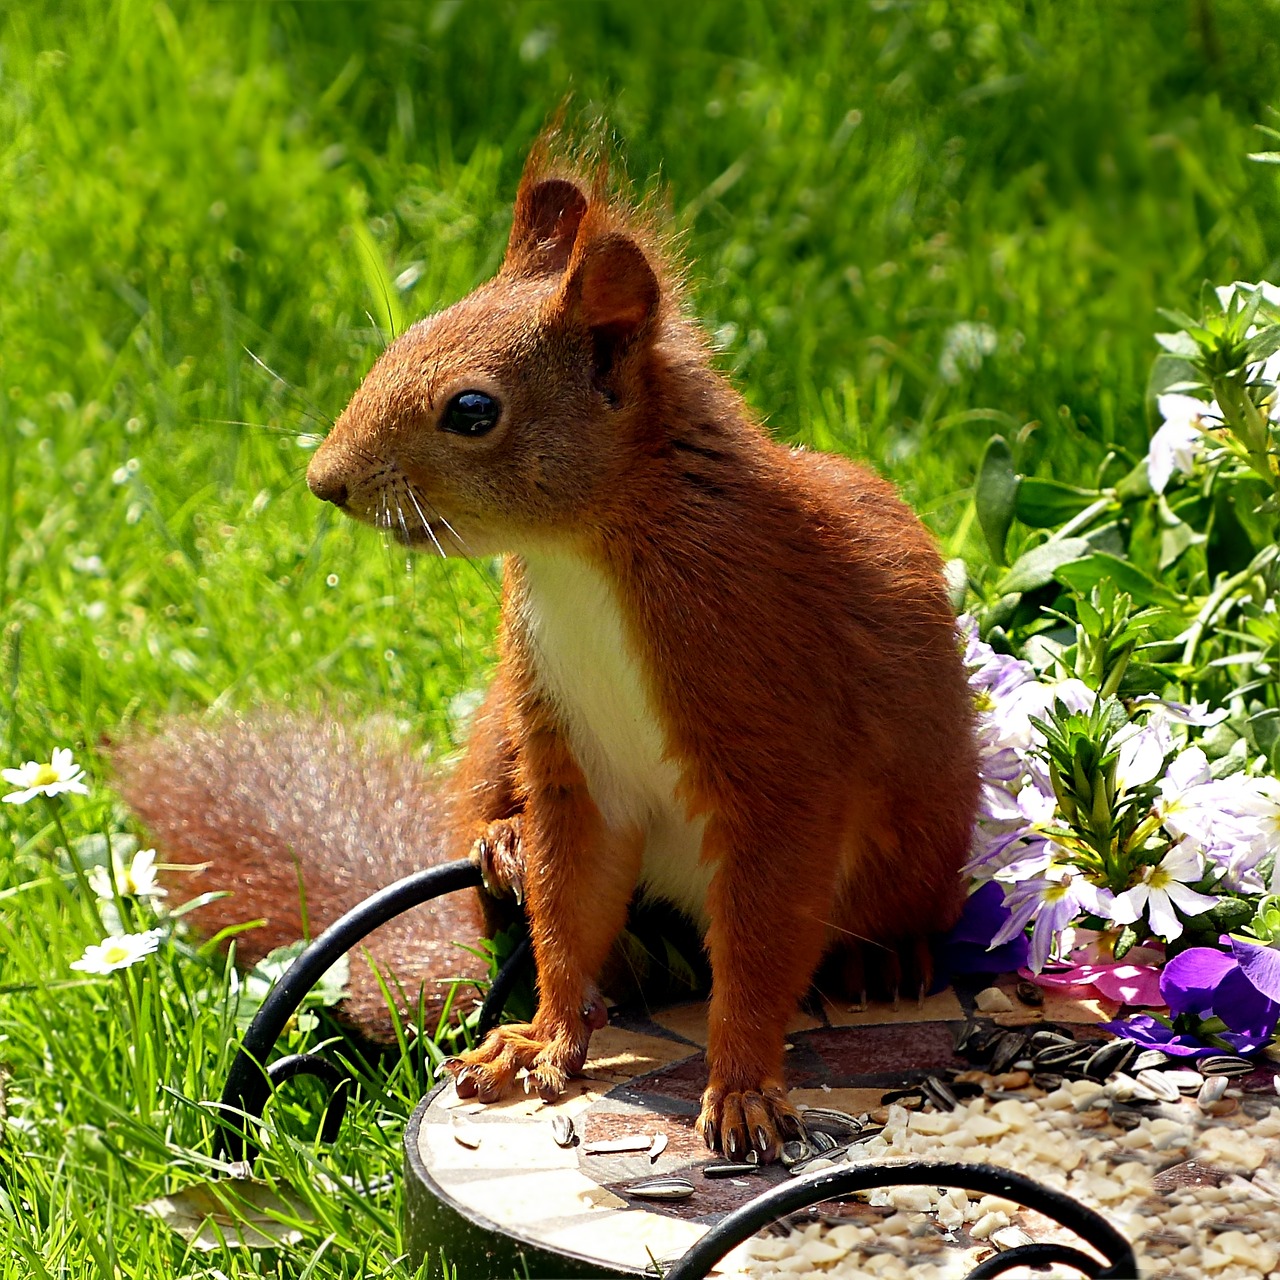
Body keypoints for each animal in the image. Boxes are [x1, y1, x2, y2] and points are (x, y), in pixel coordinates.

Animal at [294, 140, 977, 1162]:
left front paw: (742, 1089)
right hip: (501, 722)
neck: (582, 554)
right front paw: (540, 1040)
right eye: (402, 339)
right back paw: (503, 842)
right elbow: (570, 897)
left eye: (472, 410)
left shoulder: (773, 726)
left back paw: (885, 962)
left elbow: (764, 934)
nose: (324, 481)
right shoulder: (572, 750)